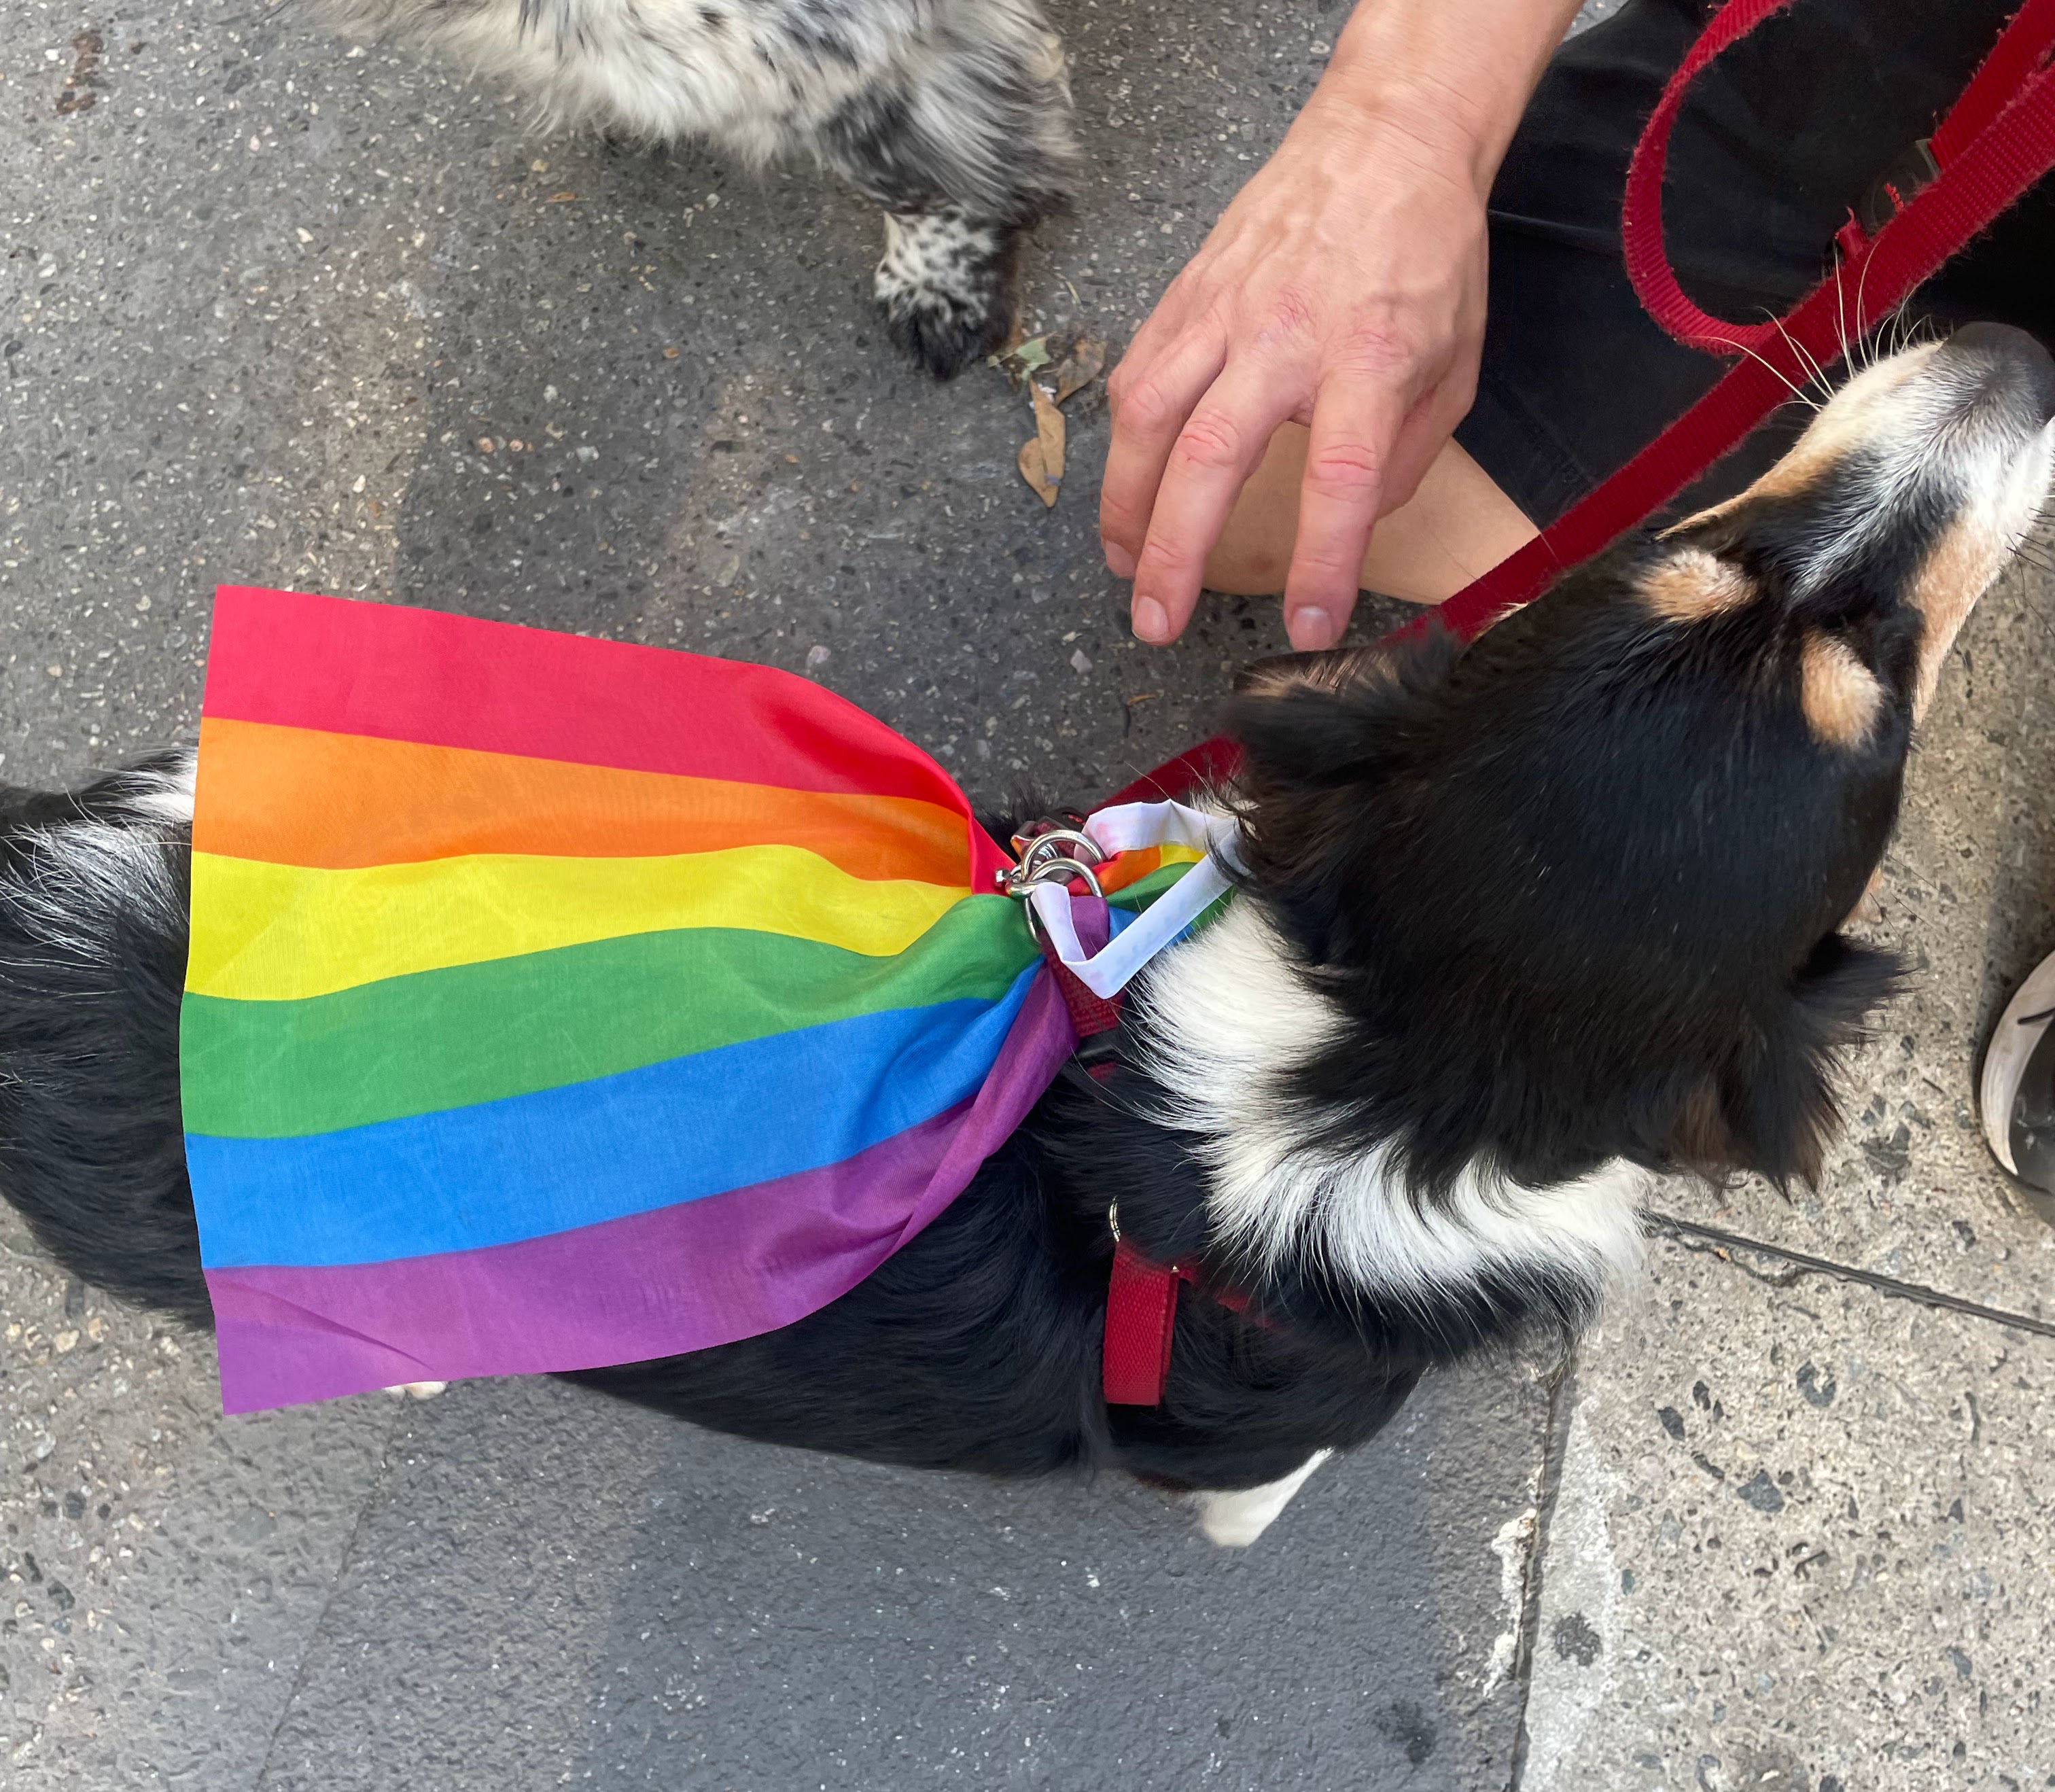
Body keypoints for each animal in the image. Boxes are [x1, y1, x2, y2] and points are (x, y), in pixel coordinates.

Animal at [0, 328, 2046, 1545]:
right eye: (1872, 694)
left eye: (1700, 530)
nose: (2013, 343)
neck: (1375, 1063)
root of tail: (54, 898)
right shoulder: (1255, 1449)